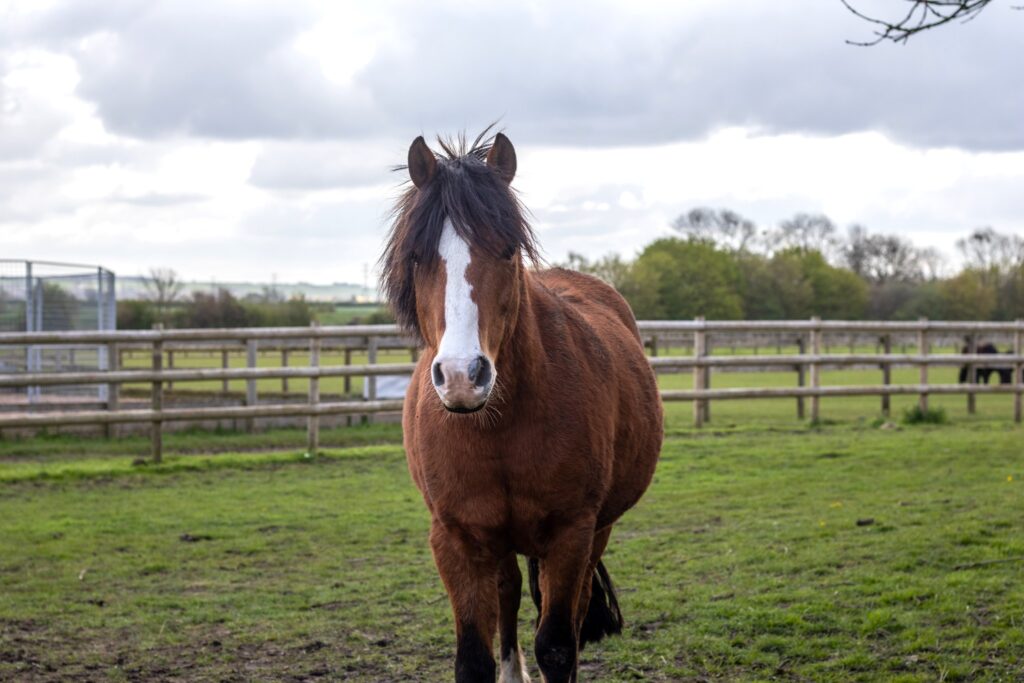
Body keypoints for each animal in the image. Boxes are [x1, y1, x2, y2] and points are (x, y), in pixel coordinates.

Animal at [380, 130, 663, 683]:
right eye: (418, 255)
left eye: (508, 250)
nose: (463, 375)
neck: (498, 428)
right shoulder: (456, 538)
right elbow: (474, 656)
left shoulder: (571, 532)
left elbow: (557, 644)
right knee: (507, 594)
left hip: (596, 530)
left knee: (571, 609)